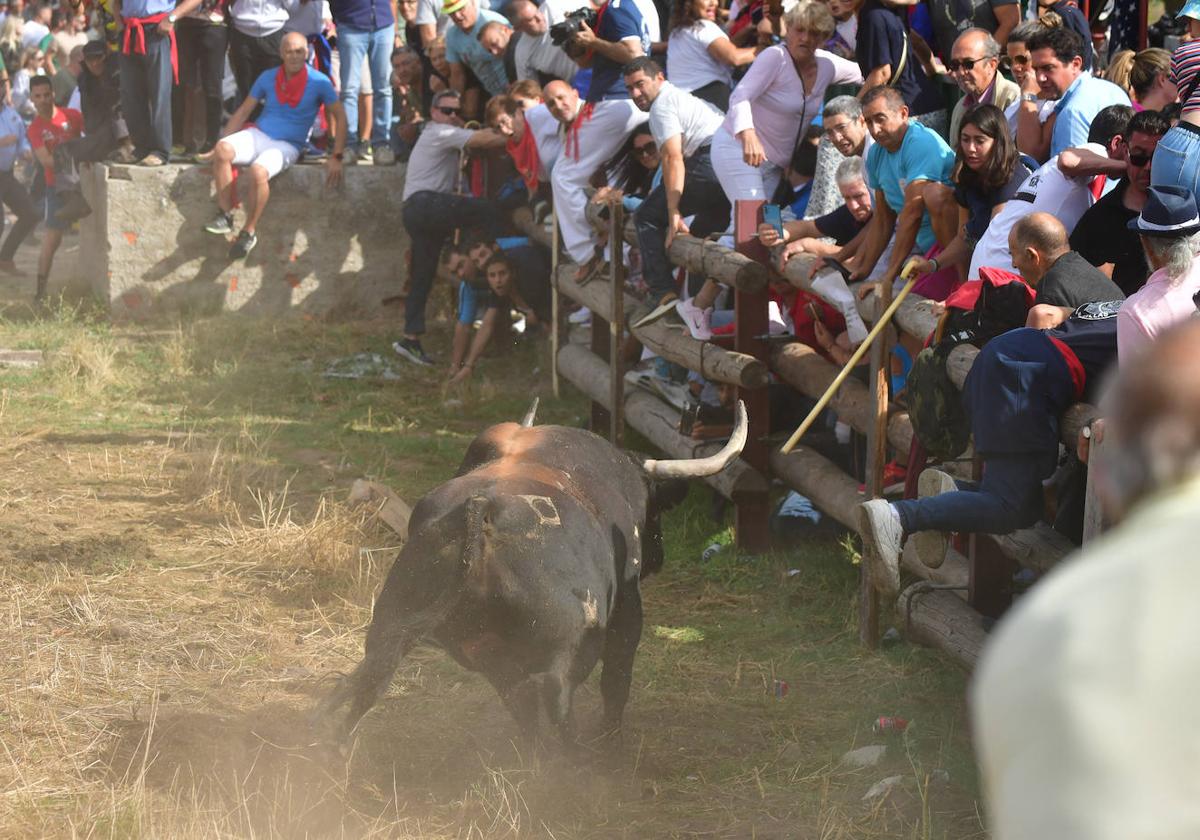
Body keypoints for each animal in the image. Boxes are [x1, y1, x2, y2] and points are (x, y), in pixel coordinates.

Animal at [324, 400, 744, 739]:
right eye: (656, 509)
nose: (659, 557)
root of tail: (481, 511)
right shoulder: (628, 608)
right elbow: (616, 679)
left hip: (400, 629)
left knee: (375, 684)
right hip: (561, 657)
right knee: (558, 706)